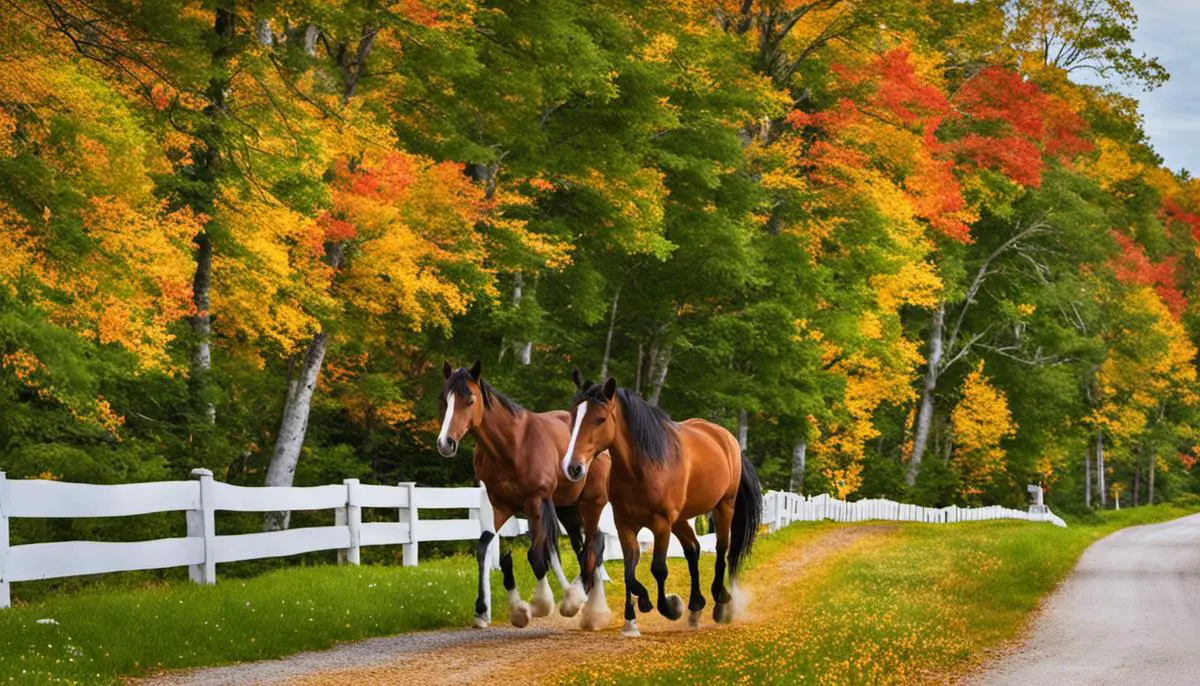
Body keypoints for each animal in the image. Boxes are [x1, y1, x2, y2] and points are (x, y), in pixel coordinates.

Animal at [436, 362, 614, 628]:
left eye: (470, 400)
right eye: (444, 399)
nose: (445, 443)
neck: (514, 444)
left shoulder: (536, 502)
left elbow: (536, 555)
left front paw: (539, 604)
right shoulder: (501, 505)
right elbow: (483, 548)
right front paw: (482, 611)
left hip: (591, 503)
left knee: (594, 544)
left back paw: (587, 606)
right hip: (567, 508)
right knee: (580, 545)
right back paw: (580, 599)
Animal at [559, 374, 758, 638]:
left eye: (600, 419)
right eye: (574, 417)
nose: (573, 467)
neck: (643, 467)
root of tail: (726, 438)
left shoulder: (661, 524)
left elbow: (658, 568)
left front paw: (670, 607)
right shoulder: (625, 526)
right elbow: (629, 572)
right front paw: (632, 618)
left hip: (723, 507)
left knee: (721, 549)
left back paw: (720, 603)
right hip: (682, 518)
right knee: (693, 550)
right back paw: (695, 607)